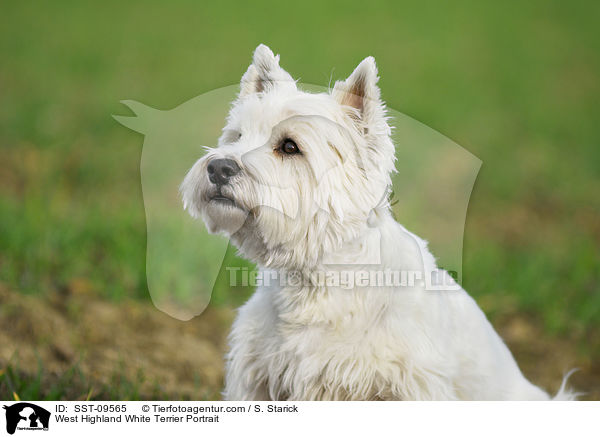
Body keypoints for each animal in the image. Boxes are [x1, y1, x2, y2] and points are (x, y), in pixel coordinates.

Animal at [180, 44, 576, 398]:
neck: (317, 284)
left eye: (290, 147)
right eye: (237, 136)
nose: (218, 167)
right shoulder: (256, 376)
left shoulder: (410, 385)